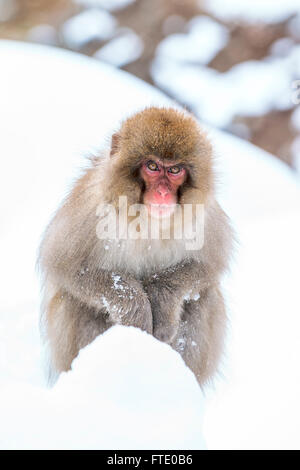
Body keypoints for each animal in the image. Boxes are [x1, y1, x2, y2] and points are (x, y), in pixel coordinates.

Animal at [38, 106, 234, 386]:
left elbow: (210, 265)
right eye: (152, 166)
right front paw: (137, 313)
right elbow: (65, 266)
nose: (163, 193)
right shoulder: (89, 206)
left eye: (175, 170)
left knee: (204, 297)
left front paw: (162, 296)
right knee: (74, 300)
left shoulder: (204, 214)